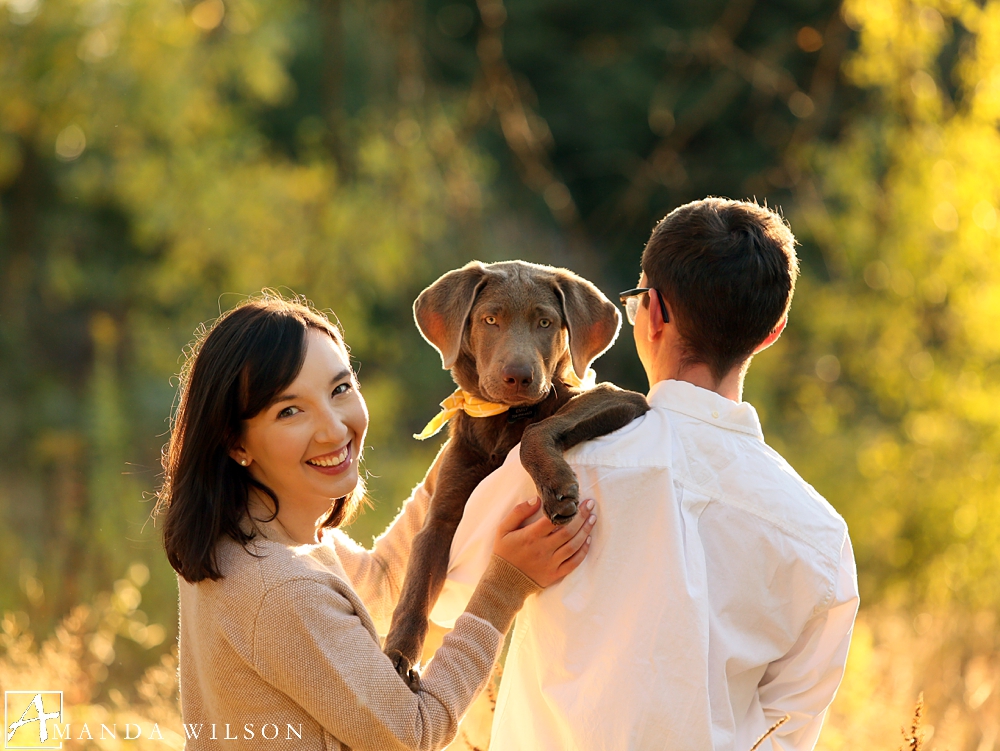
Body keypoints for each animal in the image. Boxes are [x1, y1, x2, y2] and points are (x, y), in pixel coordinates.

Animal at [382, 258, 648, 688]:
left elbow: (538, 430)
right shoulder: (440, 517)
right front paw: (399, 656)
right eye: (490, 319)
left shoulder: (621, 395)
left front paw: (556, 487)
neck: (503, 419)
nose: (519, 376)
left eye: (545, 323)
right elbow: (415, 588)